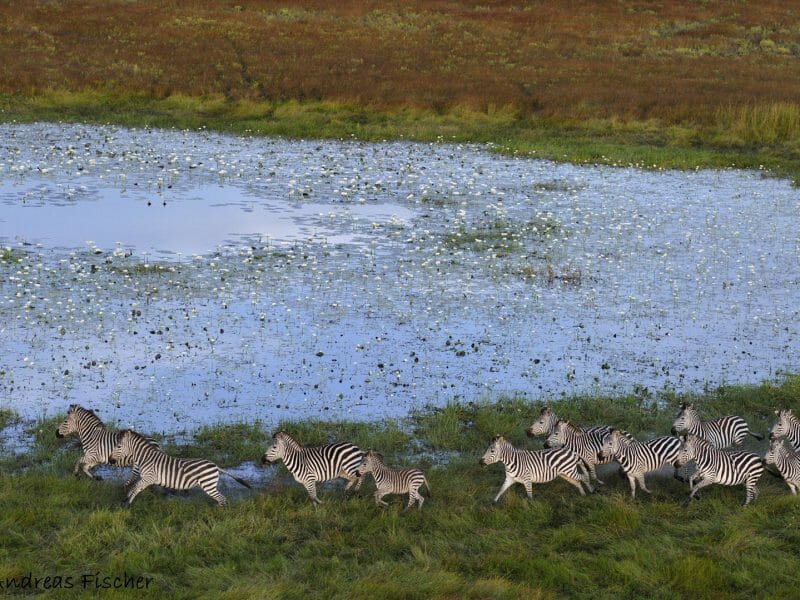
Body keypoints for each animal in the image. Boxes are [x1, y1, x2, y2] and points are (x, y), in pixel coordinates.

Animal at [109, 429, 252, 506]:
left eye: (118, 446)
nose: (110, 460)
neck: (146, 458)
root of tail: (215, 465)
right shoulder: (145, 478)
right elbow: (133, 487)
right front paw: (125, 500)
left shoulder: (149, 478)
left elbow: (135, 488)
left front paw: (128, 503)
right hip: (210, 485)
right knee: (221, 499)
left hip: (208, 485)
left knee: (222, 499)